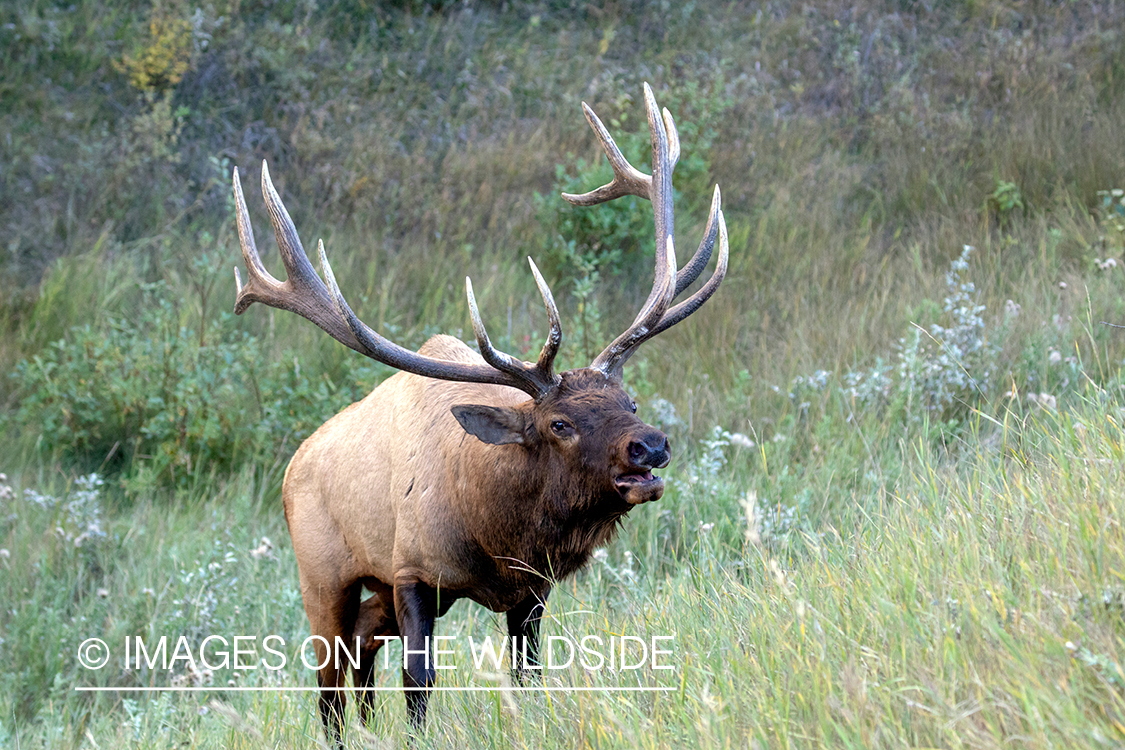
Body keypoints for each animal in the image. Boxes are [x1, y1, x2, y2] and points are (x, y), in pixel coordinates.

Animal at [230, 82, 729, 737]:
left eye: (631, 400)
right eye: (558, 424)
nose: (650, 445)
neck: (493, 529)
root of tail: (292, 467)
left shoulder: (530, 589)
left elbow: (529, 675)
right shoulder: (413, 571)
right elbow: (419, 683)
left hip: (371, 591)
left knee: (361, 646)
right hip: (323, 572)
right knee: (329, 679)